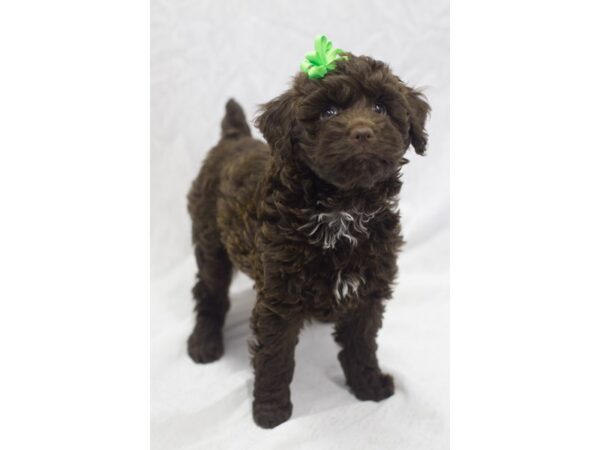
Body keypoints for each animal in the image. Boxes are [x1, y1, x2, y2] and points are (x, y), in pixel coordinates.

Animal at [185, 50, 428, 428]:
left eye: (380, 108)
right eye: (328, 112)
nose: (363, 132)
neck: (342, 209)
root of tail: (233, 139)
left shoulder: (367, 290)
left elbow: (362, 344)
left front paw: (369, 386)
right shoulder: (278, 299)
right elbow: (275, 357)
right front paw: (271, 413)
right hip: (210, 237)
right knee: (209, 291)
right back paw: (204, 344)